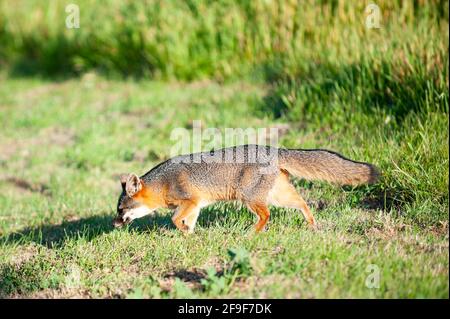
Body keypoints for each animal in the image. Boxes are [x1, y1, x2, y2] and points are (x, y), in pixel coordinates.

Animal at [113, 144, 380, 232]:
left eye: (120, 210)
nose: (114, 224)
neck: (163, 183)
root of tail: (274, 149)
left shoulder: (189, 201)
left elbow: (175, 219)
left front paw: (184, 231)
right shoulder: (196, 205)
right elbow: (189, 222)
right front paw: (191, 234)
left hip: (249, 198)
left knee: (267, 214)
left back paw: (252, 233)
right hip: (278, 195)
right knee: (302, 203)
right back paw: (313, 225)